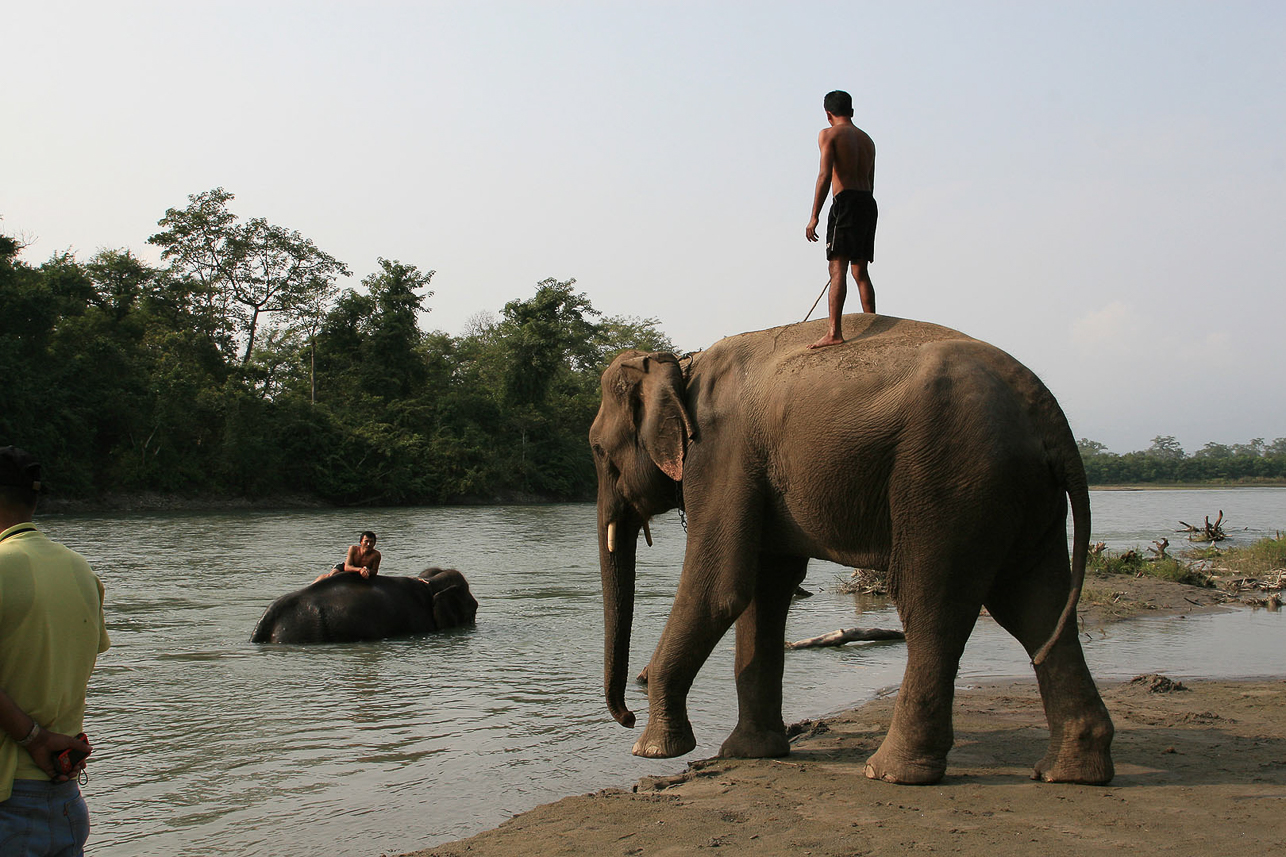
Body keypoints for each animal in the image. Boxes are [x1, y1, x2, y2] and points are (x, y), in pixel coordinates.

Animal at [591, 312, 1116, 782]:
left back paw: (891, 772)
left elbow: (722, 587)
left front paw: (653, 750)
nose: (626, 717)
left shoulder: (721, 453)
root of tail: (1050, 415)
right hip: (1023, 492)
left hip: (951, 480)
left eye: (597, 449)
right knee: (1036, 605)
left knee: (931, 602)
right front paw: (749, 753)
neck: (681, 362)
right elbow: (765, 587)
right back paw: (1070, 772)